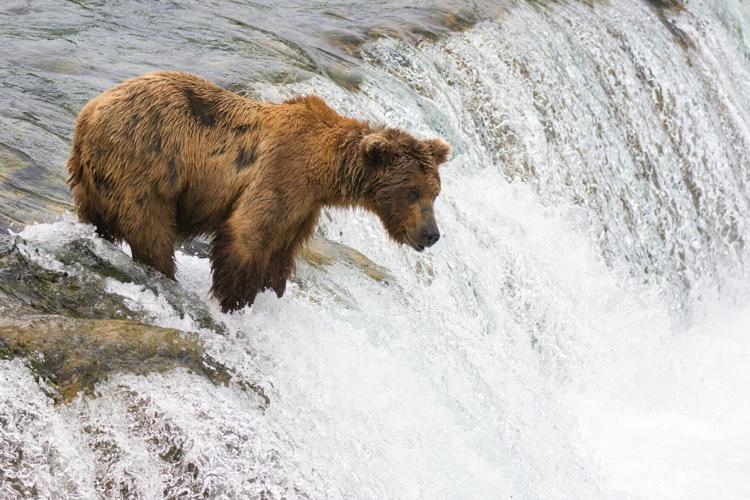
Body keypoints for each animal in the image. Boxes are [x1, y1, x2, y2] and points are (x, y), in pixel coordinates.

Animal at [67, 71, 451, 312]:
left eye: (435, 193)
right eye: (413, 192)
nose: (431, 234)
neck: (325, 170)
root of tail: (88, 113)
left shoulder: (304, 207)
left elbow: (281, 251)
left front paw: (272, 289)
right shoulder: (282, 172)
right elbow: (248, 235)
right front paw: (235, 300)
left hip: (93, 180)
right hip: (145, 163)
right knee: (151, 231)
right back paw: (164, 274)